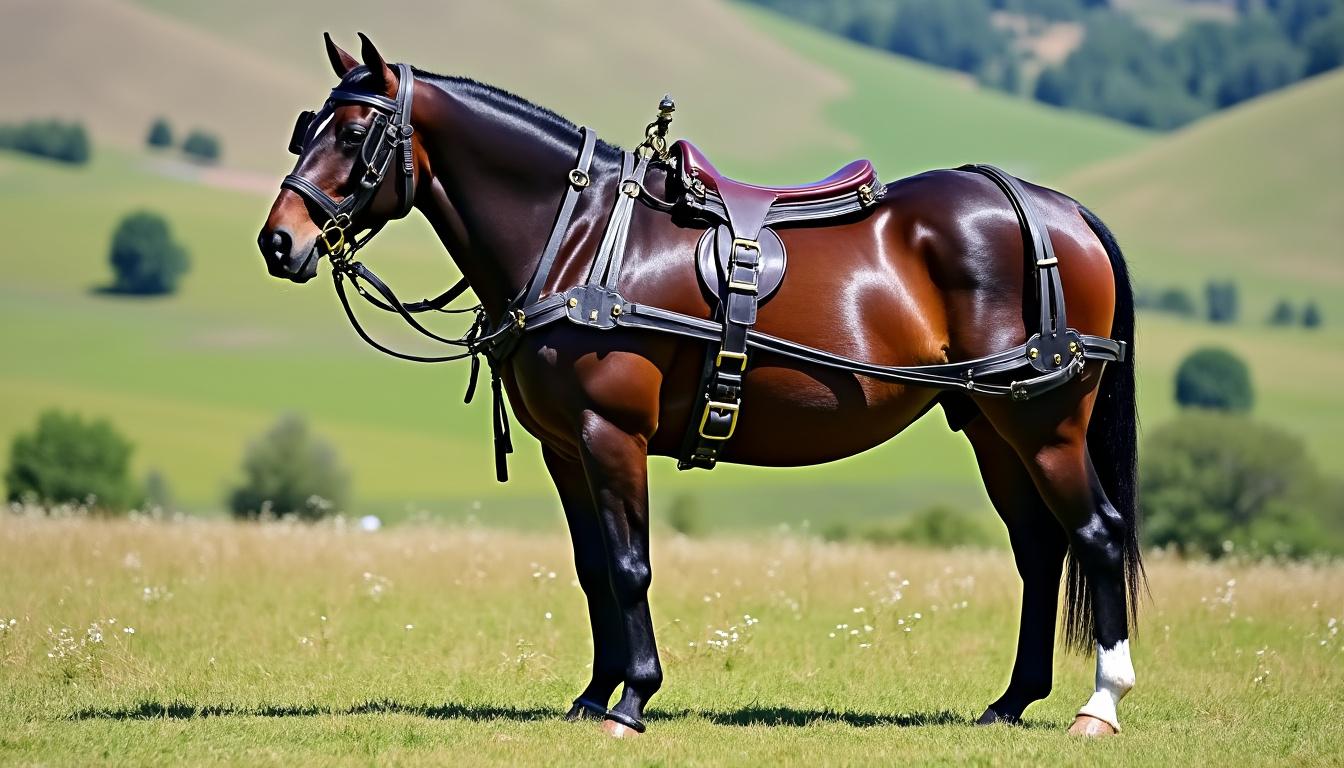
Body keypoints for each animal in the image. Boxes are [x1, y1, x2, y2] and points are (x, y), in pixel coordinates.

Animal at [258, 33, 1142, 738]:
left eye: (356, 133)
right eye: (307, 127)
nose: (279, 242)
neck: (581, 240)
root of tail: (1052, 210)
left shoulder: (612, 433)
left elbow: (630, 566)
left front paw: (632, 701)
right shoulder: (565, 449)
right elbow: (593, 568)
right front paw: (594, 693)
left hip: (1047, 426)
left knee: (1095, 534)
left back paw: (1099, 704)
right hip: (993, 424)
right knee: (1039, 549)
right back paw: (1011, 701)